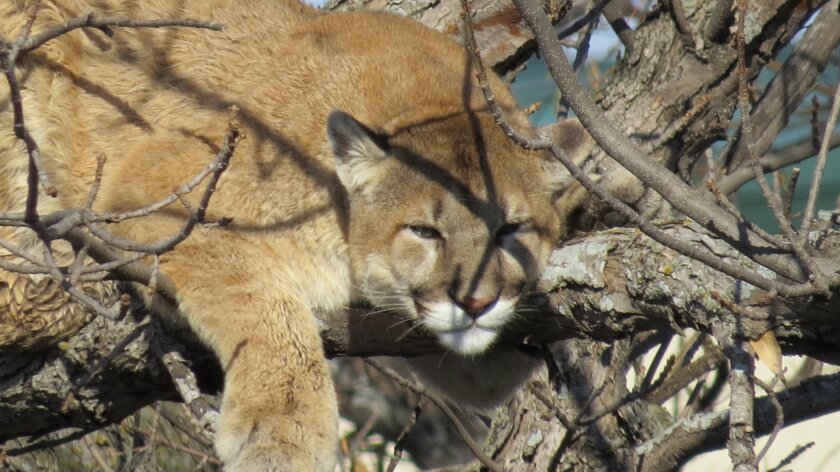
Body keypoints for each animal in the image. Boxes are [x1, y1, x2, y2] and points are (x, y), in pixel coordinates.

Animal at [0, 0, 592, 469]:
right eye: (423, 230)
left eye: (512, 229)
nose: (474, 302)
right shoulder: (155, 183)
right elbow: (261, 298)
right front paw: (283, 431)